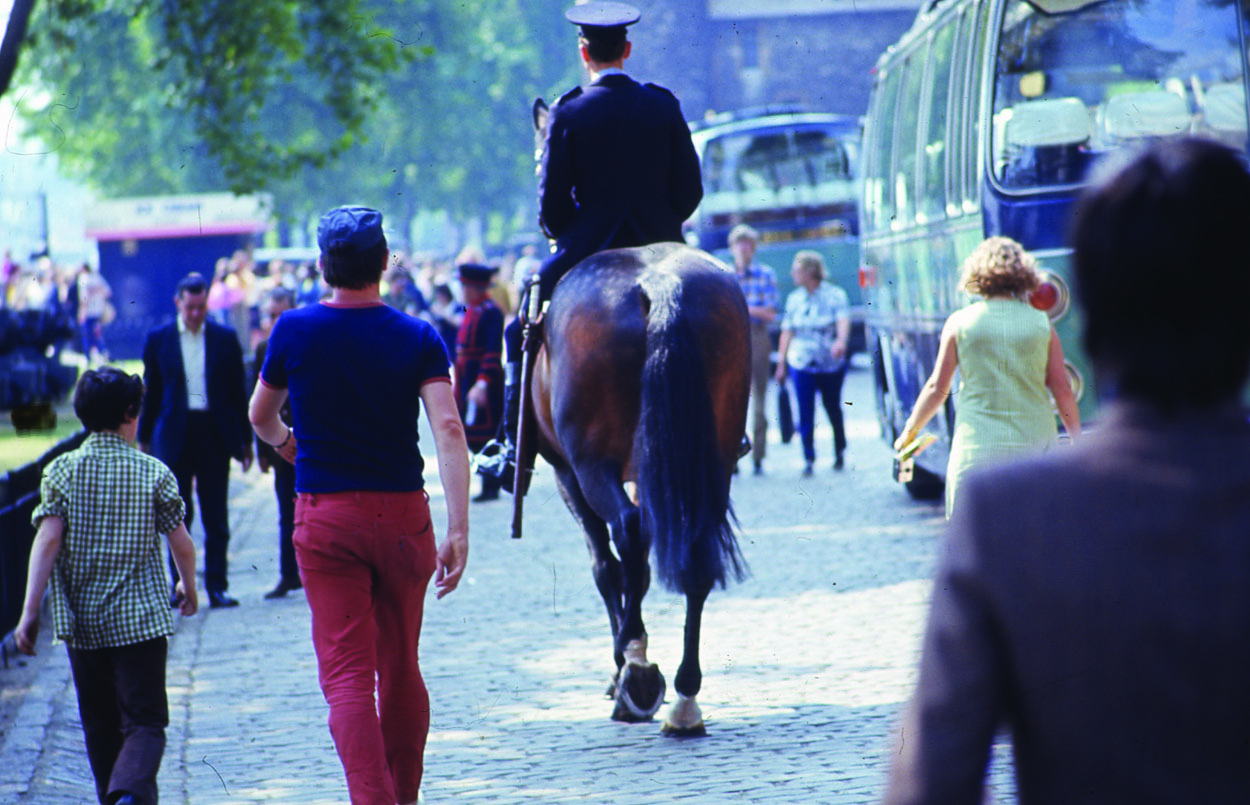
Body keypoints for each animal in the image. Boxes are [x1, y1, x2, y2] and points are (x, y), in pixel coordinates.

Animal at [524, 240, 751, 736]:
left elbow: (607, 567)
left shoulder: (568, 475)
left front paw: (622, 668)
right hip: (709, 460)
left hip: (591, 466)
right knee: (693, 554)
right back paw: (684, 700)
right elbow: (640, 569)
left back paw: (637, 670)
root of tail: (658, 282)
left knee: (624, 535)